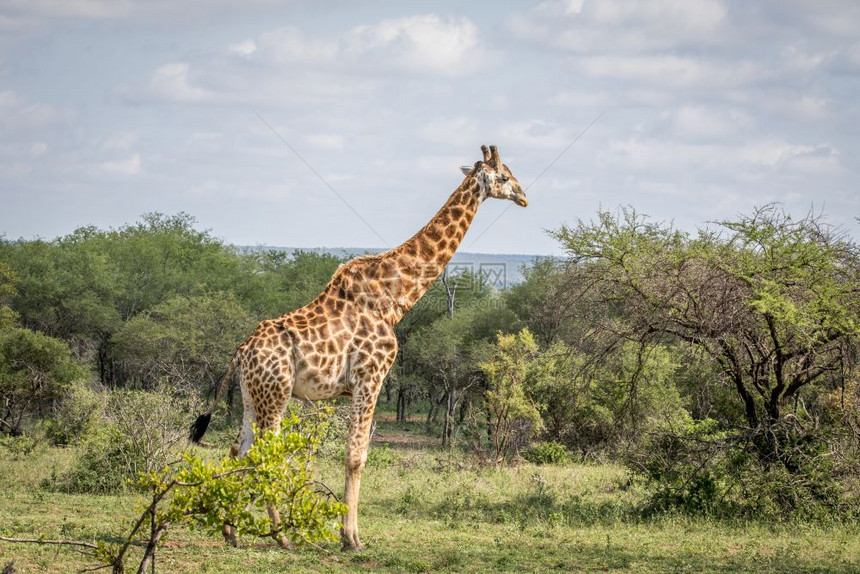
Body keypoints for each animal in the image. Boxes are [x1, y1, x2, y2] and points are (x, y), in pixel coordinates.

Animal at [191, 145, 528, 552]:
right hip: (276, 394)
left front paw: (347, 534)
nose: (524, 198)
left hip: (250, 395)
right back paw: (282, 534)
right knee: (263, 452)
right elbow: (356, 456)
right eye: (505, 176)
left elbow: (355, 453)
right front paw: (351, 538)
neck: (395, 298)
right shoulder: (371, 378)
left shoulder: (359, 385)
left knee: (238, 448)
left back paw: (231, 531)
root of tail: (241, 352)